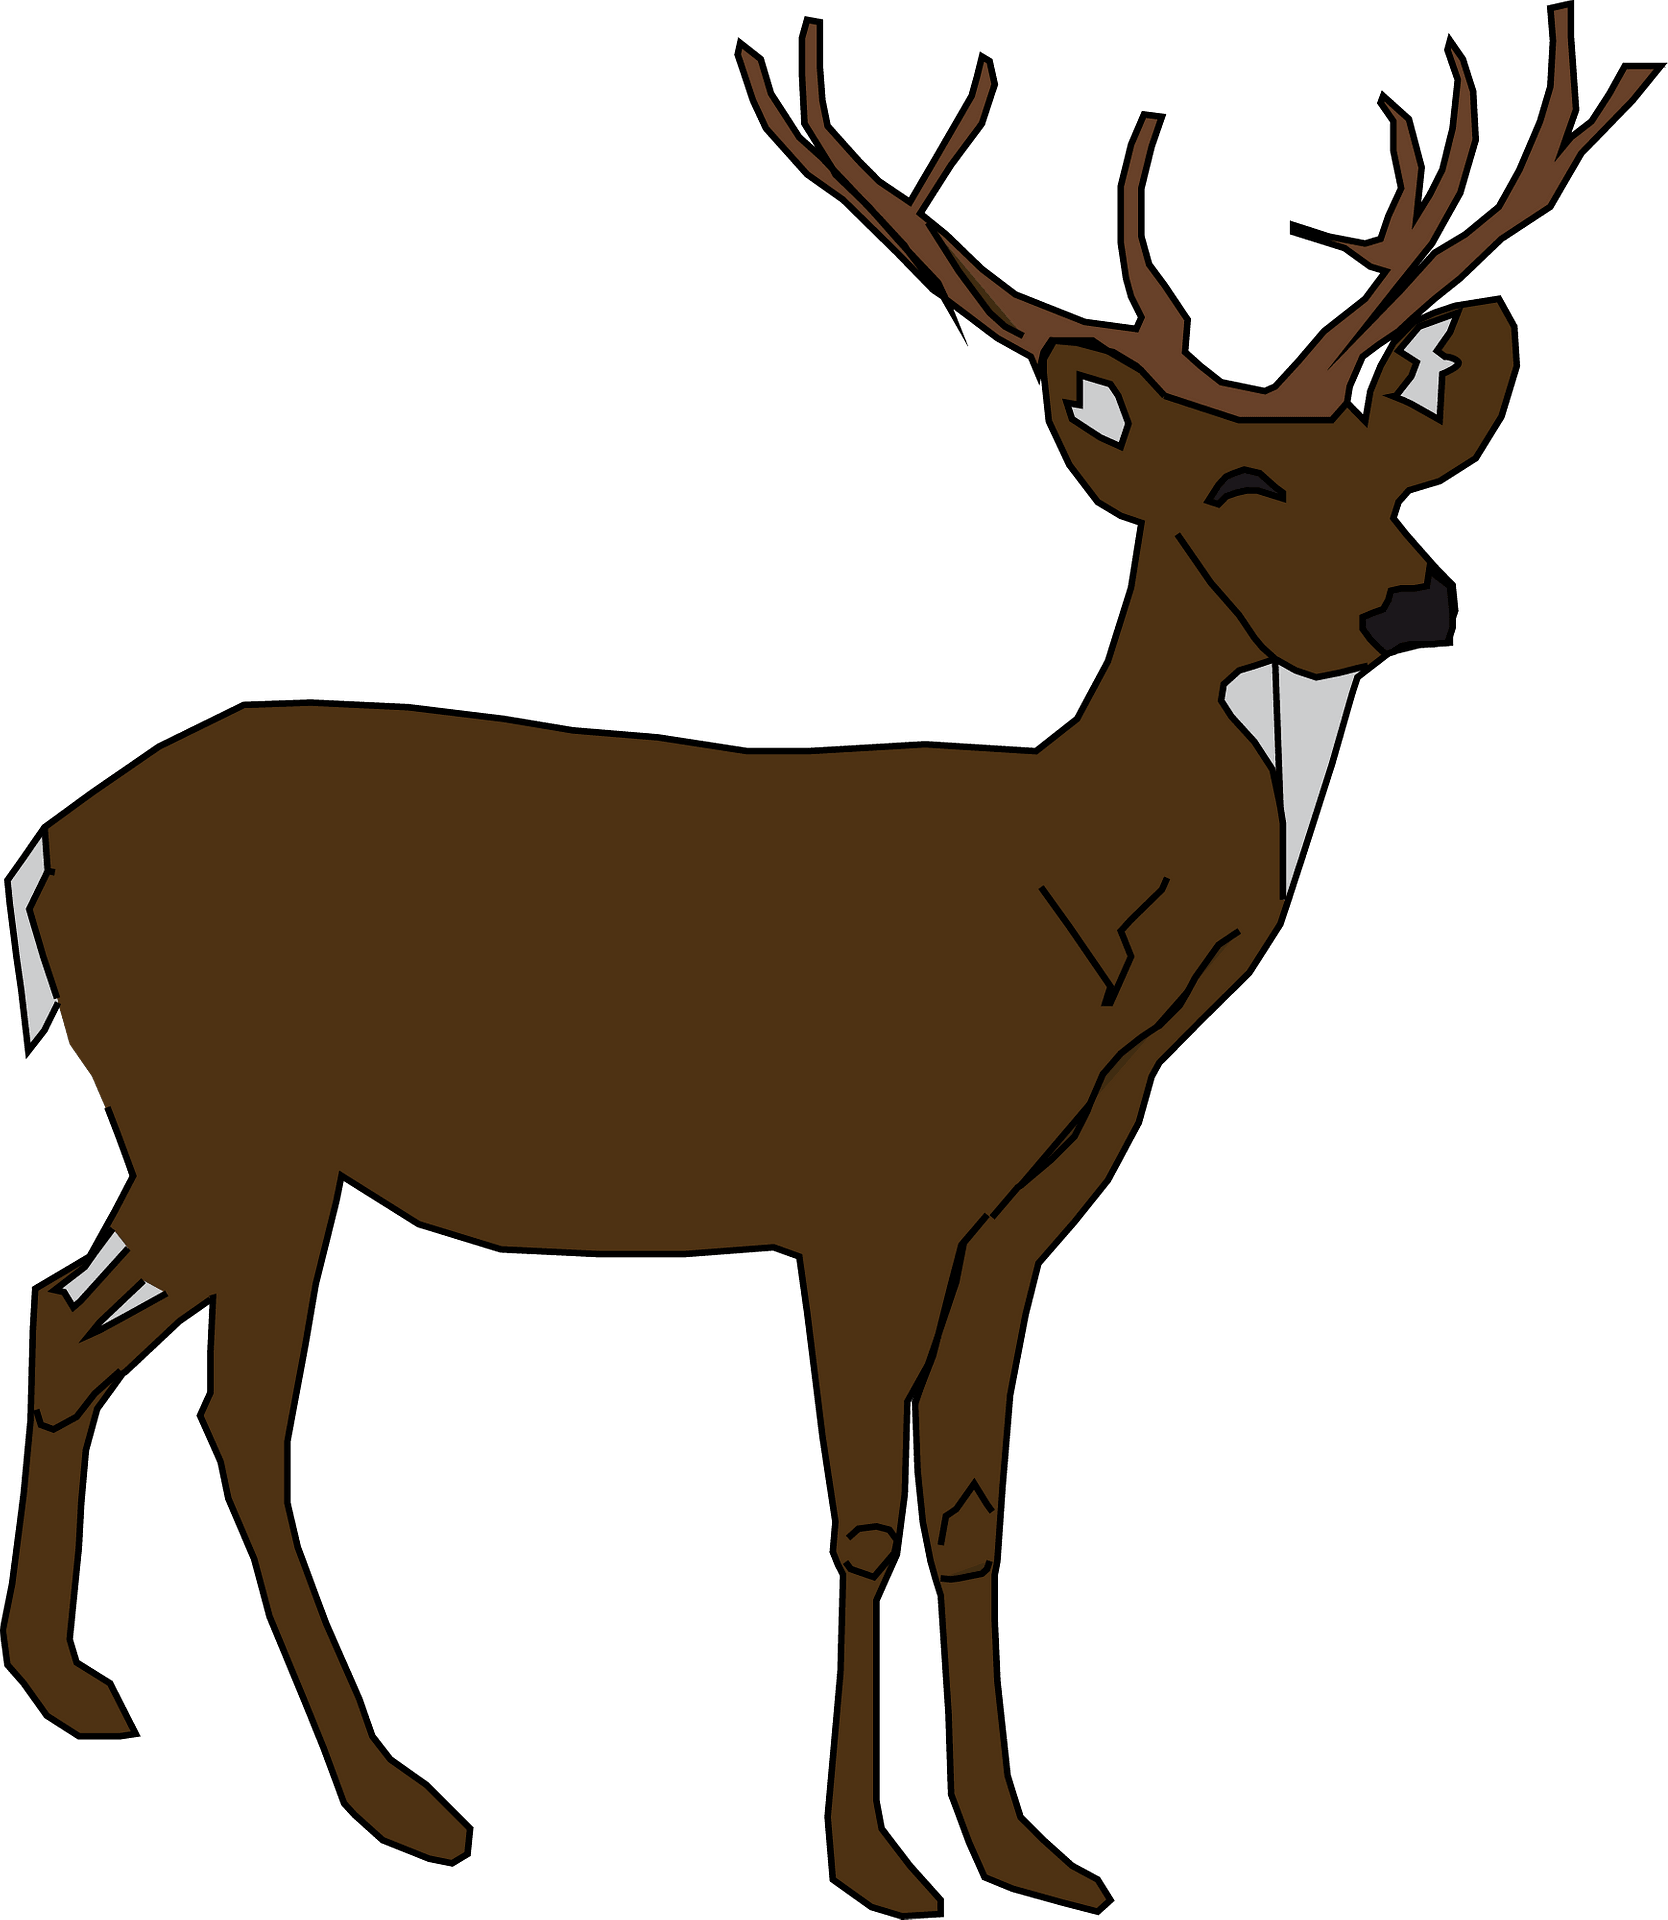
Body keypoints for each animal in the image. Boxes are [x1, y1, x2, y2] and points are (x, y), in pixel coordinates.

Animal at [2, 7, 1658, 1914]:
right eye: (1235, 480)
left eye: (1399, 471)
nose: (1416, 599)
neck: (1081, 937)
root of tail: (42, 857)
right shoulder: (861, 1195)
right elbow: (861, 1514)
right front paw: (872, 1861)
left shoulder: (1018, 1220)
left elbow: (976, 1512)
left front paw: (1029, 1848)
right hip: (248, 1126)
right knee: (236, 1412)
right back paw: (398, 1795)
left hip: (197, 1136)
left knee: (73, 1311)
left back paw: (72, 1687)